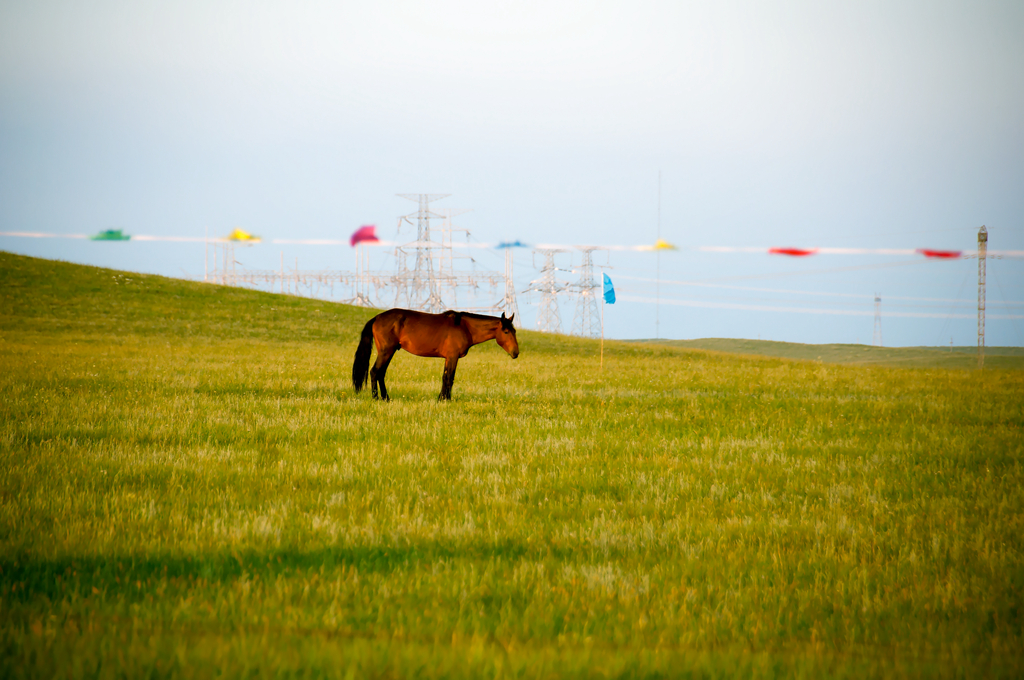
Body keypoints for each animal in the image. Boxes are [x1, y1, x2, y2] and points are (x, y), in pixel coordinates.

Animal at [352, 307, 520, 399]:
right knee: (375, 372)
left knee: (381, 373)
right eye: (506, 332)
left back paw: (386, 398)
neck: (465, 327)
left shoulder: (448, 358)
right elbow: (449, 378)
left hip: (389, 352)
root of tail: (377, 318)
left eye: (514, 331)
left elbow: (445, 377)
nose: (516, 353)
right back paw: (376, 398)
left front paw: (441, 398)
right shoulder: (452, 357)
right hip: (386, 351)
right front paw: (445, 399)